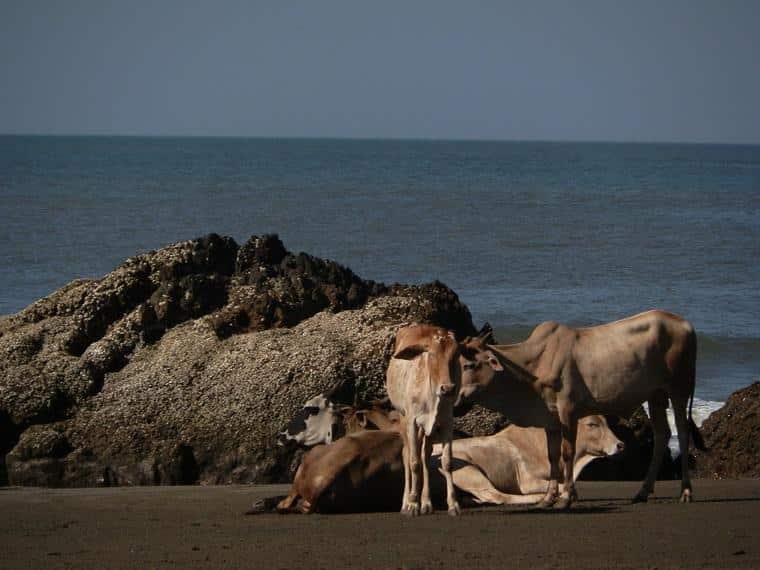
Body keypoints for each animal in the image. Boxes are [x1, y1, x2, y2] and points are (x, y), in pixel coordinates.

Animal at [386, 324, 464, 516]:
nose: (448, 388)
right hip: (403, 417)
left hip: (429, 428)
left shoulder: (446, 421)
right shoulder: (412, 422)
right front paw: (413, 503)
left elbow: (447, 462)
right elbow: (413, 462)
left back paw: (426, 502)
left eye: (456, 354)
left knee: (425, 456)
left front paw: (453, 504)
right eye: (433, 354)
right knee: (407, 454)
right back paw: (407, 501)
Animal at [458, 308, 708, 508]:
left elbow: (567, 453)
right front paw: (548, 498)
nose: (454, 395)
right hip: (655, 395)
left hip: (679, 389)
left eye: (469, 365)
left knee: (682, 433)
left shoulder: (568, 410)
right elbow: (553, 457)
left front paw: (566, 498)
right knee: (662, 434)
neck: (533, 368)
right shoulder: (550, 418)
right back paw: (642, 492)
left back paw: (686, 491)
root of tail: (686, 324)